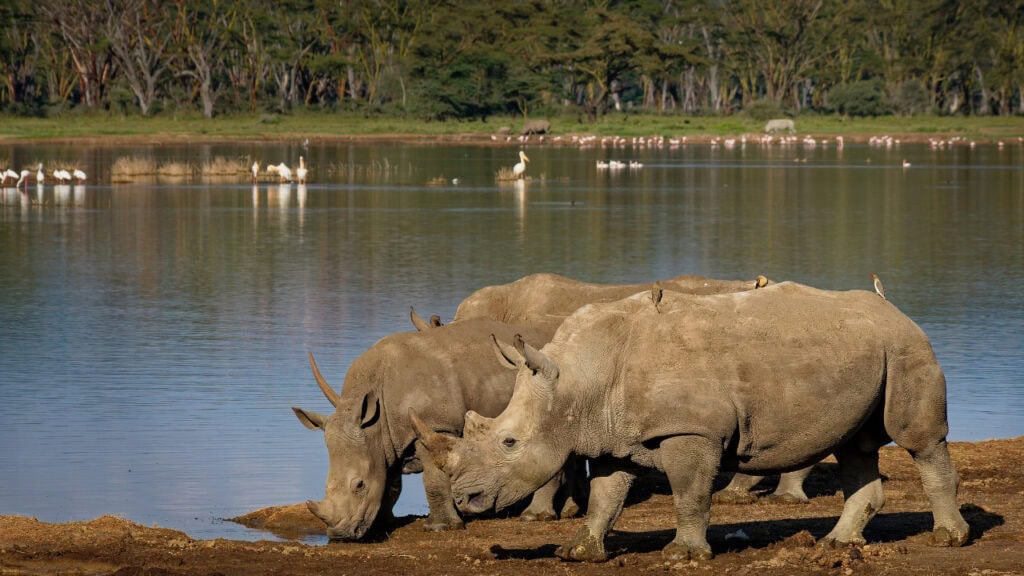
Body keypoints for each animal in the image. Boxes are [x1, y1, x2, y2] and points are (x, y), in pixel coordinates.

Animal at [413, 282, 966, 561]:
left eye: (509, 442)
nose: (467, 499)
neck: (577, 381)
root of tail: (896, 308)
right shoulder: (613, 433)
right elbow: (606, 496)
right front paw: (580, 551)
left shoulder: (691, 430)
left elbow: (690, 493)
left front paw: (683, 555)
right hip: (864, 349)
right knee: (856, 445)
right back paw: (839, 544)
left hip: (906, 345)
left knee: (918, 439)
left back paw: (949, 539)